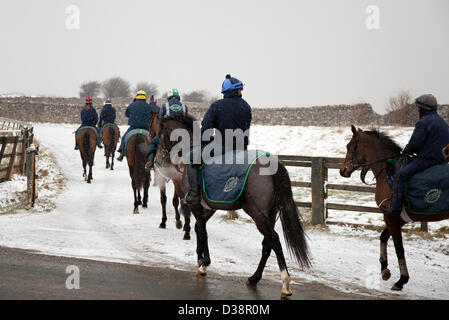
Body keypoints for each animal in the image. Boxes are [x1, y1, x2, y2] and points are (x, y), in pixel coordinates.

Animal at [150, 111, 191, 239]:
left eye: (160, 135)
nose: (162, 156)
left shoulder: (177, 180)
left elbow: (177, 200)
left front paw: (182, 224)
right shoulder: (167, 179)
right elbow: (166, 199)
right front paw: (166, 222)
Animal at [158, 114, 312, 298]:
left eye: (159, 134)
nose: (159, 159)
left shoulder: (196, 205)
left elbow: (201, 230)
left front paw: (204, 263)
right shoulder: (210, 207)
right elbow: (198, 228)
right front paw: (200, 259)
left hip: (257, 214)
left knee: (274, 240)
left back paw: (285, 283)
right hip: (269, 214)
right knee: (267, 244)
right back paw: (254, 278)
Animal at [338, 125, 448, 292]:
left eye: (349, 146)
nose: (342, 170)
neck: (388, 172)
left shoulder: (391, 216)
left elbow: (398, 247)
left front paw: (402, 280)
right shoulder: (400, 218)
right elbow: (383, 236)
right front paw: (384, 269)